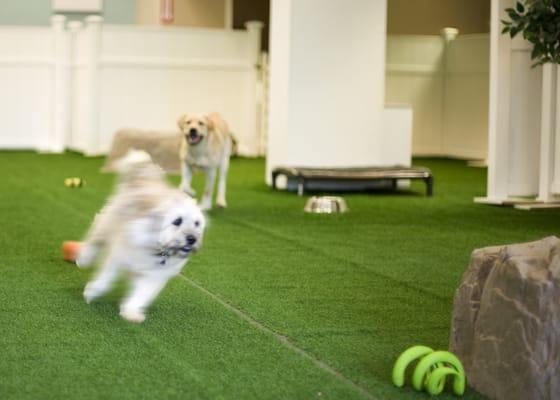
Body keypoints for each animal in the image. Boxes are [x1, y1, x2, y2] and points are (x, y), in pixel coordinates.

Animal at [75, 150, 205, 322]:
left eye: (197, 224)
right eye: (177, 221)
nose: (192, 239)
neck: (157, 248)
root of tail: (144, 174)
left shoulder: (155, 276)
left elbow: (142, 294)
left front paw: (131, 311)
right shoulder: (118, 255)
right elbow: (106, 279)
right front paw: (93, 291)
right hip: (107, 223)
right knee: (95, 240)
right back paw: (83, 259)